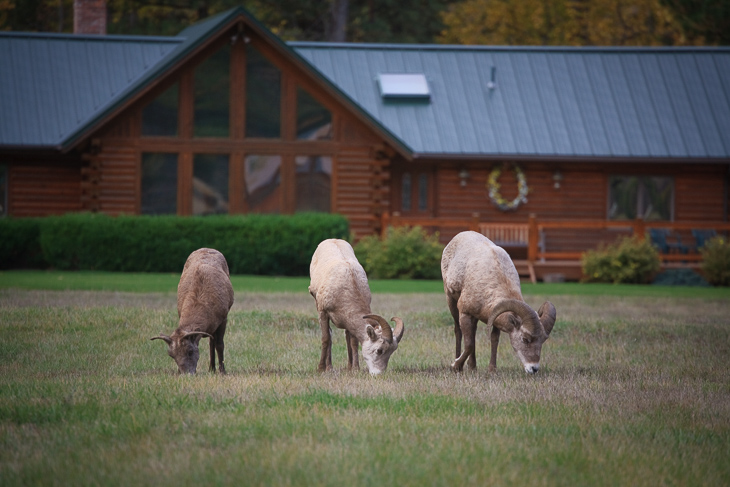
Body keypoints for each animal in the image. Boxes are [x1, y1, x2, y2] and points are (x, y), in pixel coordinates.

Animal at [308, 240, 404, 378]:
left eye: (392, 351)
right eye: (379, 350)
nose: (378, 374)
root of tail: (333, 239)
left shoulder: (349, 318)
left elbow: (353, 342)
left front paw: (355, 369)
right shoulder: (323, 312)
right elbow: (326, 338)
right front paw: (321, 369)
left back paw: (347, 367)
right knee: (330, 335)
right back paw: (329, 368)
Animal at [438, 231, 556, 376]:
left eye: (543, 340)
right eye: (525, 339)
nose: (533, 369)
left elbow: (493, 340)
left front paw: (492, 369)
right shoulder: (465, 313)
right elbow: (469, 344)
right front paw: (455, 366)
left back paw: (473, 367)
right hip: (451, 301)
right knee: (458, 331)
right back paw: (460, 365)